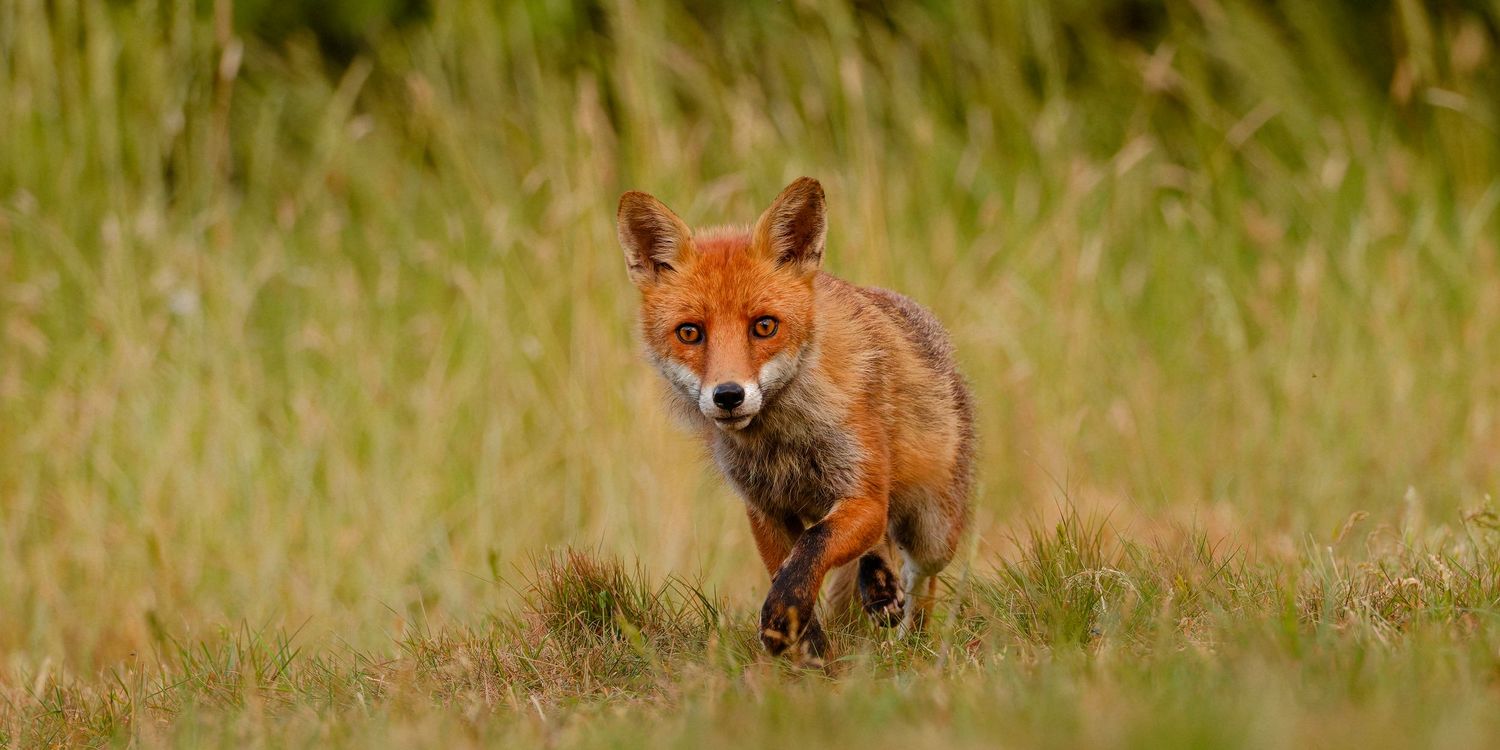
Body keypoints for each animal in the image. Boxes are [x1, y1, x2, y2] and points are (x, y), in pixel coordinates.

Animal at [615, 177, 975, 664]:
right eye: (690, 333)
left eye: (765, 326)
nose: (728, 395)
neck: (782, 443)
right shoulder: (766, 509)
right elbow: (791, 570)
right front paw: (807, 650)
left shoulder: (863, 496)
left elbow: (812, 548)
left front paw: (784, 624)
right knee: (879, 550)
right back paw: (880, 588)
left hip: (934, 530)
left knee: (923, 576)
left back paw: (911, 639)